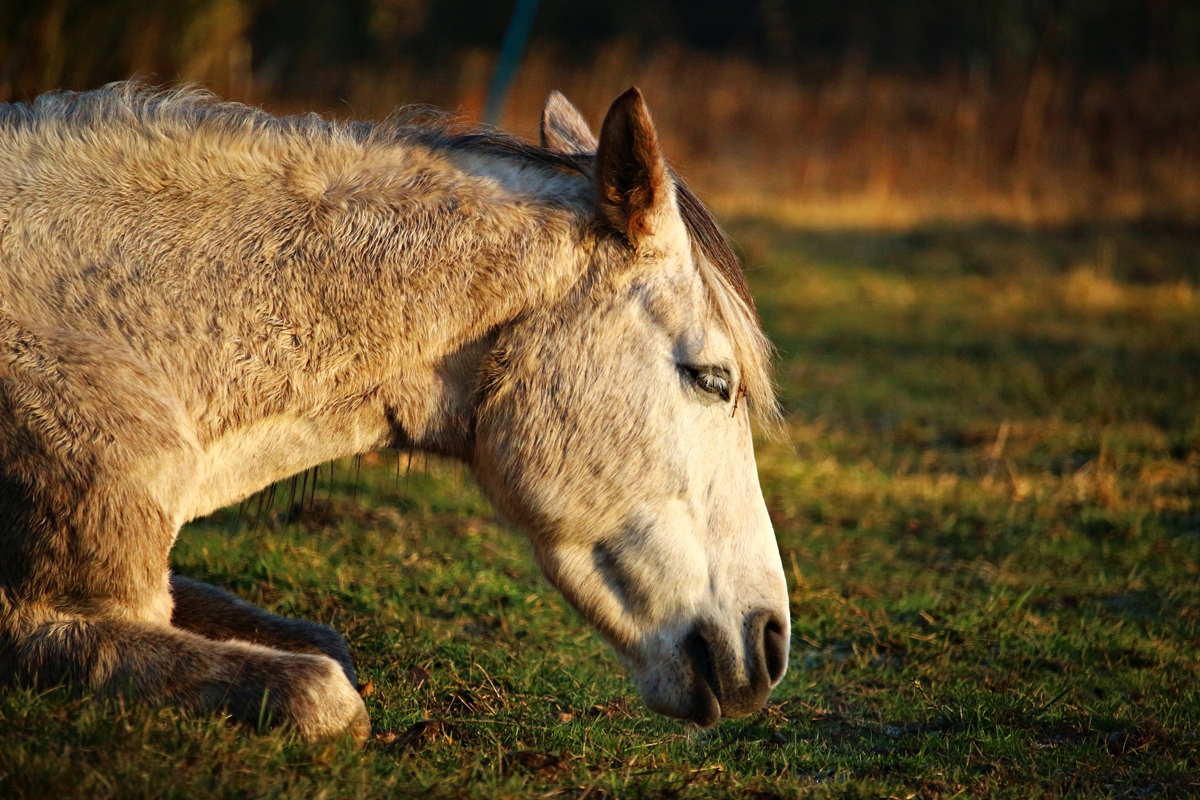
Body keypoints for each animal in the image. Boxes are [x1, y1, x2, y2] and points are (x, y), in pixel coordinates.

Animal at [0, 82, 792, 743]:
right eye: (712, 378)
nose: (770, 642)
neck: (124, 329)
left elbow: (327, 643)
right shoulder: (35, 621)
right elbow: (324, 695)